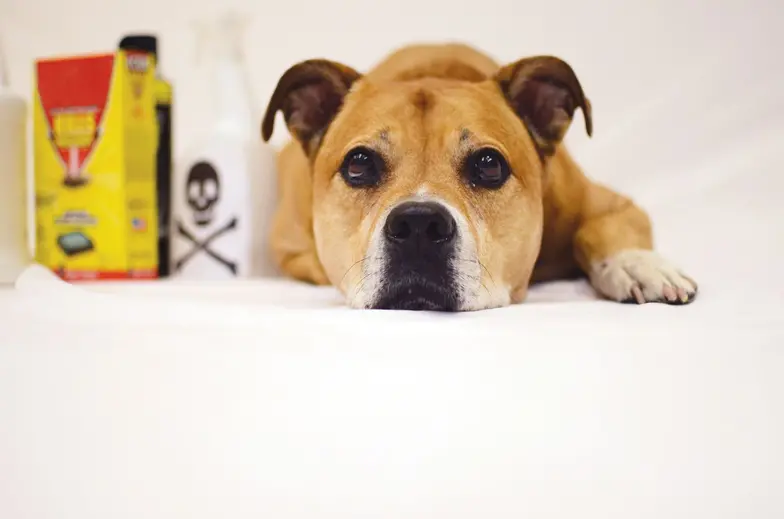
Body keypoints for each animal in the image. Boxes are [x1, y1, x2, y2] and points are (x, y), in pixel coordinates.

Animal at [262, 42, 700, 310]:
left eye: (489, 165)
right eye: (358, 164)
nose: (418, 224)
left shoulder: (610, 203)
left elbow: (603, 227)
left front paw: (637, 265)